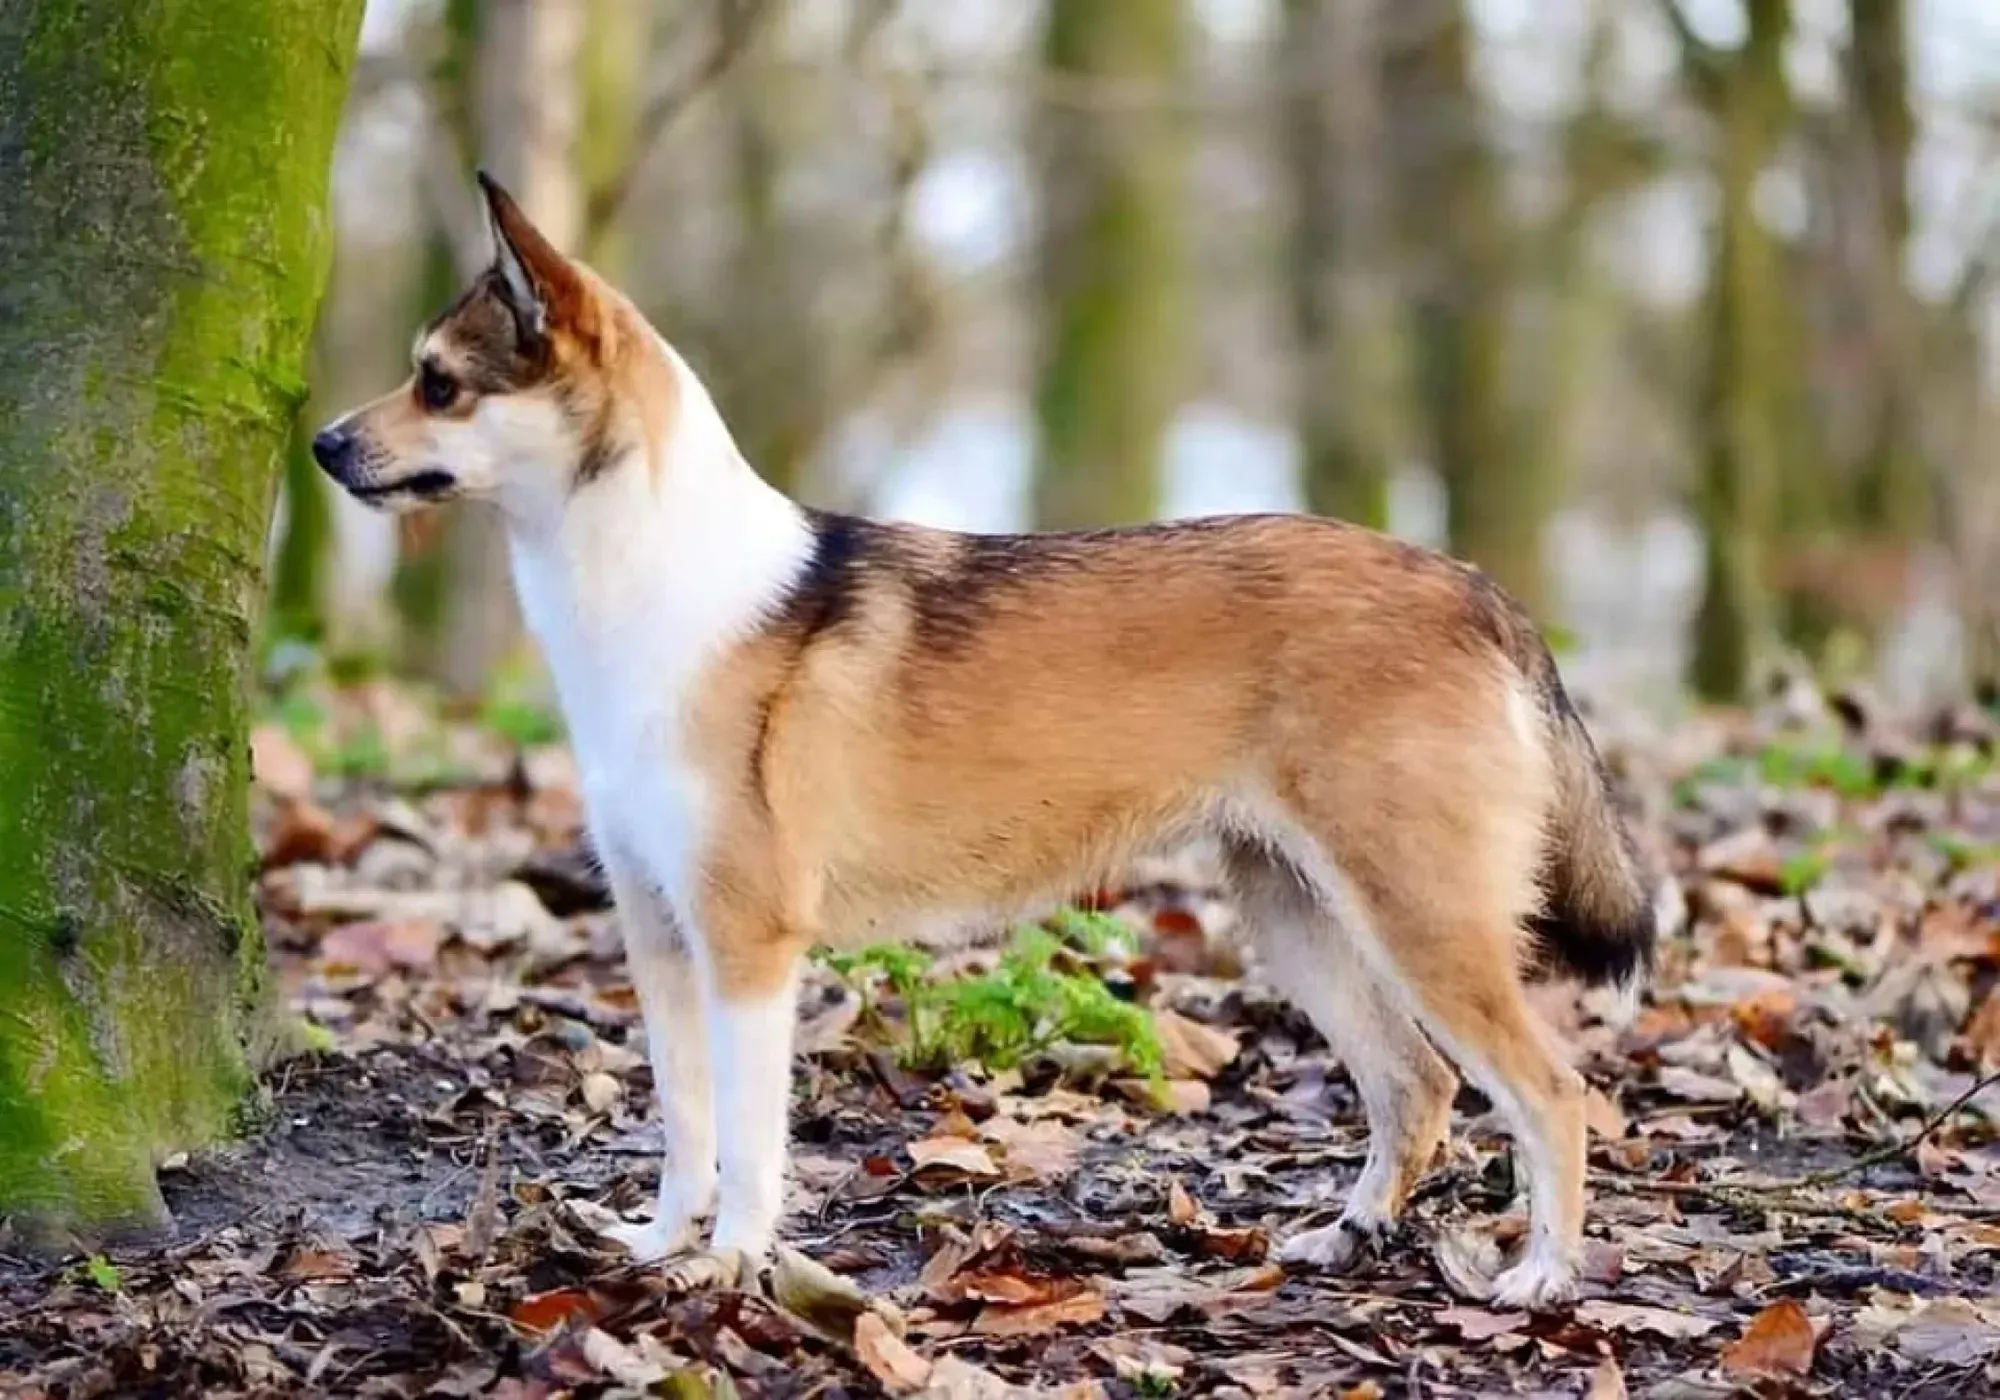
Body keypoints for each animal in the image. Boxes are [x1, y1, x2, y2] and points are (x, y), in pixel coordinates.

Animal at [312, 175, 1656, 1312]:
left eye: (439, 382)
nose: (322, 443)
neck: (651, 584)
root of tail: (1474, 587)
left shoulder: (748, 942)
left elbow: (748, 1136)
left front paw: (731, 1264)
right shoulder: (657, 928)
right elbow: (685, 1118)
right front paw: (657, 1244)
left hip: (1418, 916)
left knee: (1553, 1089)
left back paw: (1540, 1273)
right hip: (1295, 912)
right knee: (1415, 1082)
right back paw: (1348, 1233)